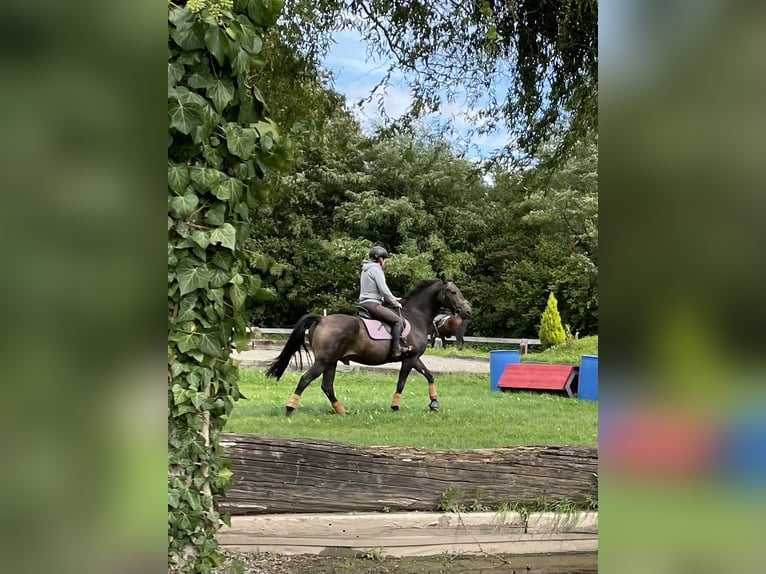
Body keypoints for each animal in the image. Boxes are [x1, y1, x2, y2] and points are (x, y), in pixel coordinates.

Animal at [265, 279, 472, 416]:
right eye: (453, 292)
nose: (467, 311)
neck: (416, 315)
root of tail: (322, 319)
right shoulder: (410, 359)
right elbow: (403, 382)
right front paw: (398, 406)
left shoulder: (414, 359)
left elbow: (429, 376)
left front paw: (433, 403)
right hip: (323, 361)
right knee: (305, 380)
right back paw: (290, 409)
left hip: (331, 362)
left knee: (327, 386)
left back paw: (341, 410)